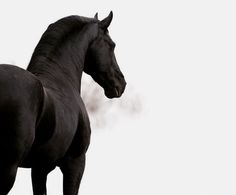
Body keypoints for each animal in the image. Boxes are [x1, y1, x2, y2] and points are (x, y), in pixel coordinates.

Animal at [0, 11, 126, 194]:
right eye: (112, 45)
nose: (121, 83)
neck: (61, 80)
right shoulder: (75, 163)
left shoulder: (40, 169)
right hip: (9, 168)